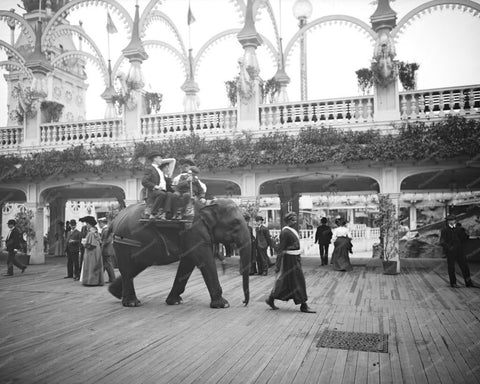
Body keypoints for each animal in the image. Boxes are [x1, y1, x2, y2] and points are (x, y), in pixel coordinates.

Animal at [107, 198, 251, 308]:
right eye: (236, 222)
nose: (244, 302)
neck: (208, 204)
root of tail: (114, 220)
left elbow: (188, 263)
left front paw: (175, 302)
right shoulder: (194, 232)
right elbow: (205, 261)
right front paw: (223, 304)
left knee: (134, 267)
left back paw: (114, 293)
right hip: (123, 243)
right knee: (128, 269)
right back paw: (132, 303)